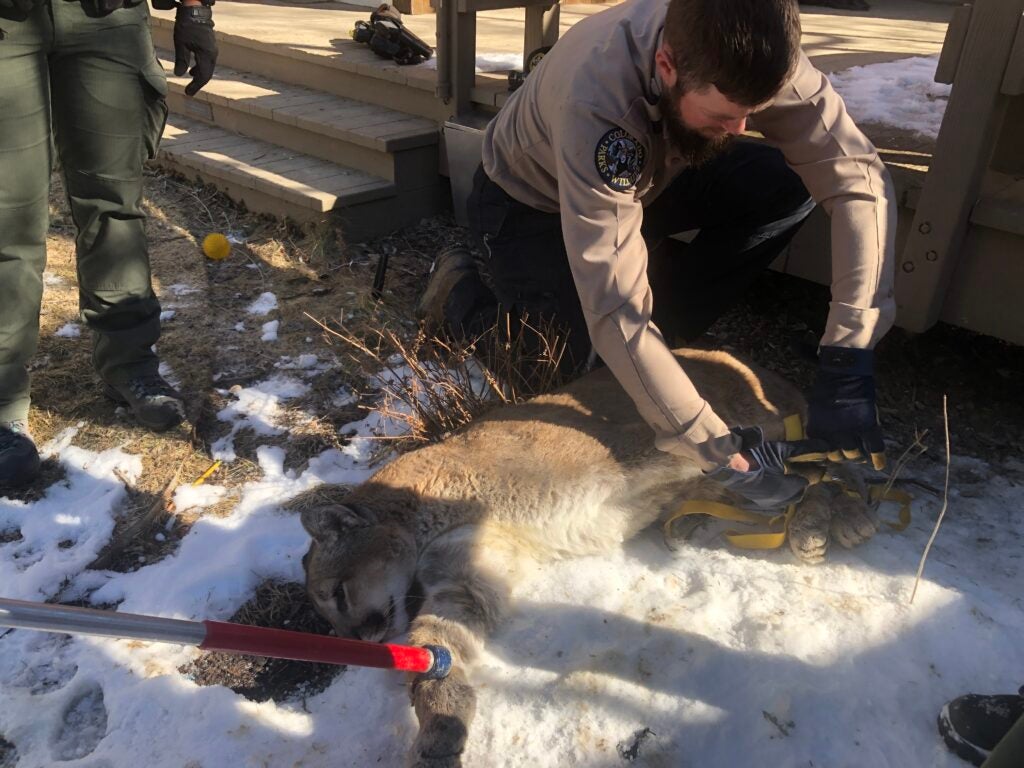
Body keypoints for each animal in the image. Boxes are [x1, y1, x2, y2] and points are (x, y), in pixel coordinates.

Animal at [299, 350, 876, 768]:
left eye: (337, 593)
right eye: (327, 618)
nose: (358, 639)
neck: (422, 516)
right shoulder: (465, 580)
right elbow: (436, 649)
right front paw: (442, 728)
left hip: (750, 440)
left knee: (827, 469)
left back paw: (831, 524)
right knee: (808, 475)